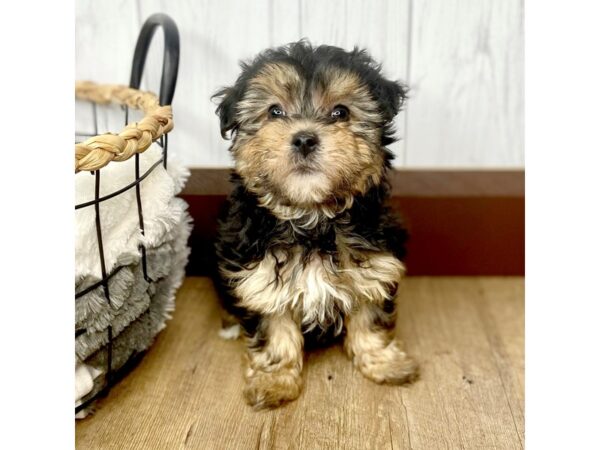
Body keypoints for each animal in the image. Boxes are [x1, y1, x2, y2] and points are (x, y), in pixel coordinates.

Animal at [214, 40, 418, 410]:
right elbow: (274, 333)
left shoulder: (375, 268)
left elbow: (370, 319)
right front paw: (274, 382)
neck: (313, 219)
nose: (305, 139)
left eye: (340, 112)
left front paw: (384, 362)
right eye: (274, 112)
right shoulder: (261, 279)